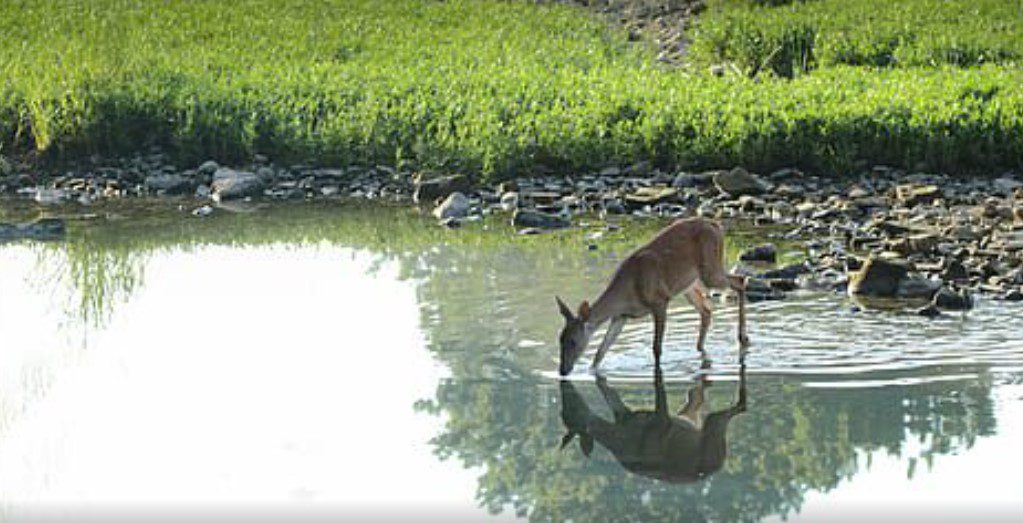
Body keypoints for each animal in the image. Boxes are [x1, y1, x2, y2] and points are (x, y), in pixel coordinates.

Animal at [556, 216, 748, 376]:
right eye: (560, 339)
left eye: (573, 341)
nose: (562, 371)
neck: (628, 293)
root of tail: (716, 226)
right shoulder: (621, 316)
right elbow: (601, 350)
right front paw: (592, 371)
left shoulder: (660, 301)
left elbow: (656, 348)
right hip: (689, 284)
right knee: (707, 310)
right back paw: (701, 348)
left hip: (710, 271)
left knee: (739, 280)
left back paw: (743, 338)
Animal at [560, 360, 744, 483]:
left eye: (569, 415)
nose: (564, 371)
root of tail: (721, 462)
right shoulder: (624, 414)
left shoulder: (659, 421)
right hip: (696, 419)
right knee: (698, 396)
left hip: (712, 425)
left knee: (735, 407)